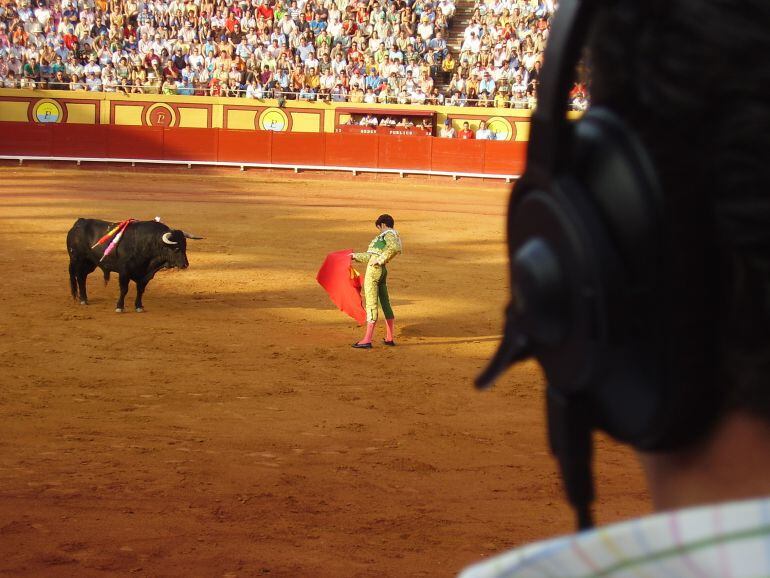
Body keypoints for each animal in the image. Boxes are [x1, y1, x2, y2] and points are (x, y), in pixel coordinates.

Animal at [67, 218, 202, 312]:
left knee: (82, 277)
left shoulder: (145, 275)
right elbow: (124, 289)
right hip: (77, 260)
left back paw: (84, 298)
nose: (185, 264)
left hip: (90, 263)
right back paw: (83, 300)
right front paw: (119, 307)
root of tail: (79, 222)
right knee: (79, 277)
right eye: (176, 248)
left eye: (185, 247)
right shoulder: (124, 272)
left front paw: (139, 306)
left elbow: (140, 290)